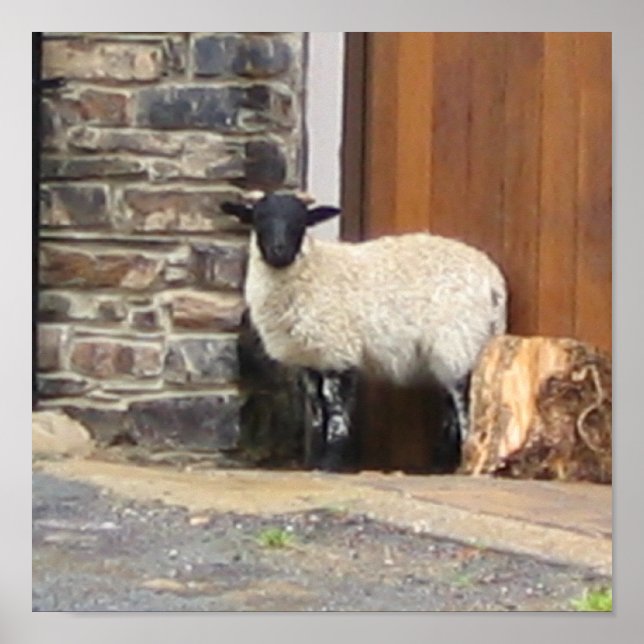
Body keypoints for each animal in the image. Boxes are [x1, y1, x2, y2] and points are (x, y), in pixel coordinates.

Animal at [221, 191, 507, 470]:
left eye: (301, 221)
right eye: (258, 219)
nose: (279, 252)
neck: (313, 268)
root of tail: (493, 280)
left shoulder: (338, 351)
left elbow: (335, 406)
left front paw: (332, 461)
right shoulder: (310, 357)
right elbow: (315, 407)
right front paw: (315, 460)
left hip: (460, 338)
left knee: (465, 398)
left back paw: (465, 460)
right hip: (455, 346)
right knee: (452, 399)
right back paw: (443, 462)